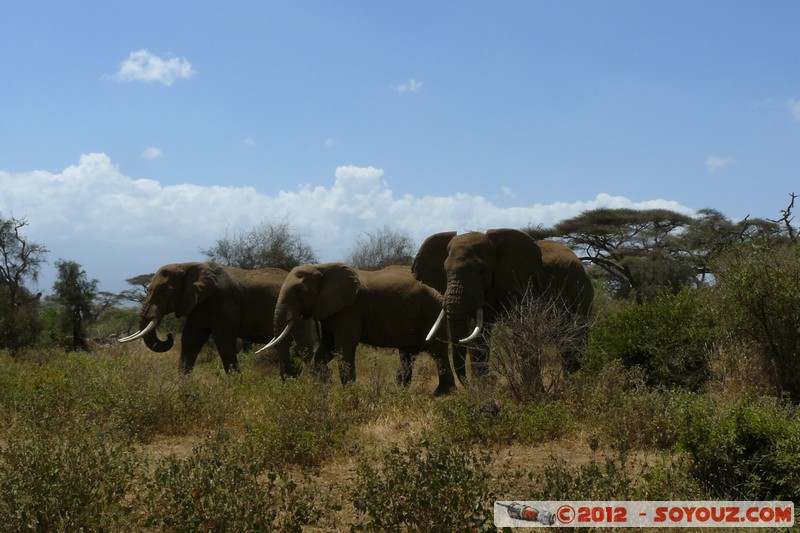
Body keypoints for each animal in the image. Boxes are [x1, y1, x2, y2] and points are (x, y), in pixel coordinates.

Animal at [118, 262, 316, 374]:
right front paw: (181, 387)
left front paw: (237, 386)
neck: (185, 265)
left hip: (300, 313)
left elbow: (223, 340)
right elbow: (190, 339)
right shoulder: (198, 303)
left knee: (303, 345)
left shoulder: (222, 302)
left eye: (162, 291)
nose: (168, 335)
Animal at [262, 262, 456, 394]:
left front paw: (349, 394)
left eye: (299, 291)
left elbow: (343, 347)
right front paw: (325, 391)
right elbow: (326, 350)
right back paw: (401, 392)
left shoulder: (351, 308)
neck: (321, 267)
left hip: (432, 312)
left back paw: (442, 394)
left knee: (437, 351)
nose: (291, 379)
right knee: (407, 354)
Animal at [412, 229, 592, 382]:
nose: (467, 384)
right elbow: (478, 337)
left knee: (573, 337)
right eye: (445, 270)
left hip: (579, 291)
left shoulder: (521, 283)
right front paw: (484, 393)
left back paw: (576, 381)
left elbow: (522, 333)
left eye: (482, 271)